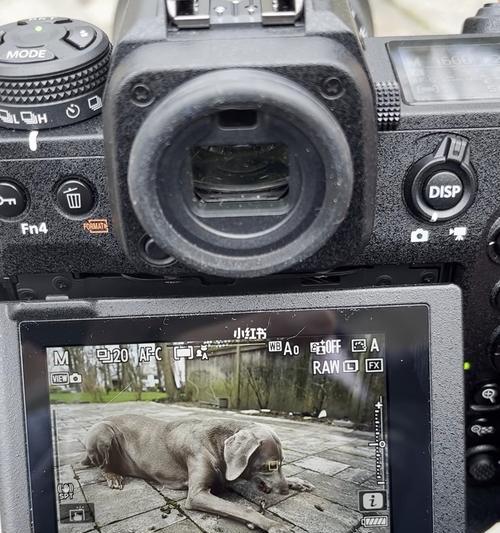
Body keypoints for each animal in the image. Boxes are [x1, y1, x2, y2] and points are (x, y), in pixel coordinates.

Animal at [84, 416, 314, 532]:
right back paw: (113, 477)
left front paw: (297, 481)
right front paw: (273, 524)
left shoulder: (228, 475)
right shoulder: (197, 494)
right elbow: (244, 508)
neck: (217, 444)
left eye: (282, 463)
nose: (284, 491)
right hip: (103, 433)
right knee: (102, 466)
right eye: (271, 466)